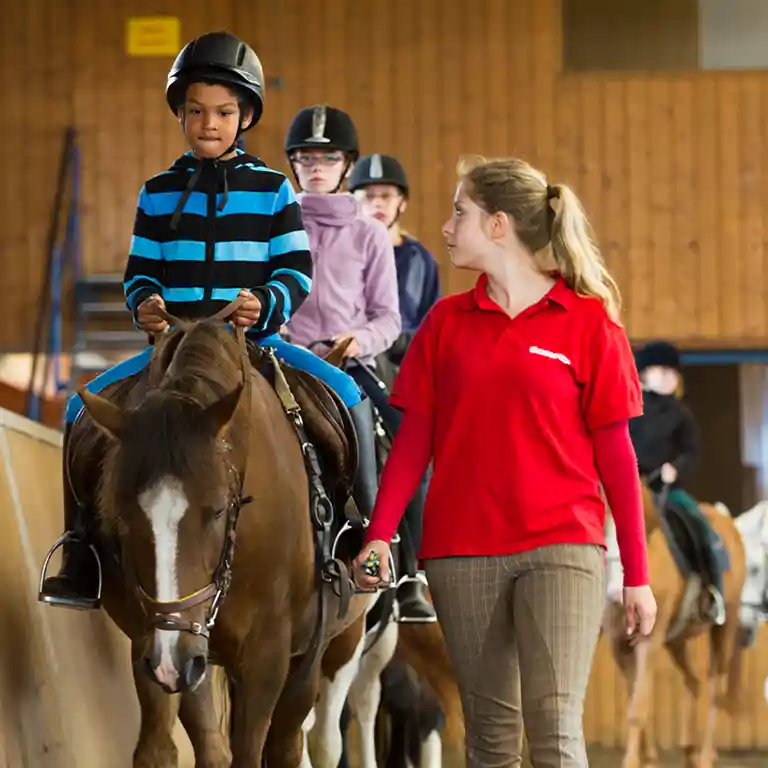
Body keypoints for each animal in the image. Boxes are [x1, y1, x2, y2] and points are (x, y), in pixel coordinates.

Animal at [45, 305, 378, 767]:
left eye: (219, 508)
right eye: (119, 515)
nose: (173, 658)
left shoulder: (268, 656)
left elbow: (254, 749)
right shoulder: (159, 640)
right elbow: (168, 747)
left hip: (333, 643)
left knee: (301, 741)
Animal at [603, 481, 747, 768]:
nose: (614, 593)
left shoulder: (648, 640)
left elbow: (638, 707)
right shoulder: (619, 646)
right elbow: (635, 701)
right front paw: (647, 759)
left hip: (724, 629)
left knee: (713, 689)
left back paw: (705, 756)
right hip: (676, 641)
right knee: (693, 682)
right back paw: (689, 751)